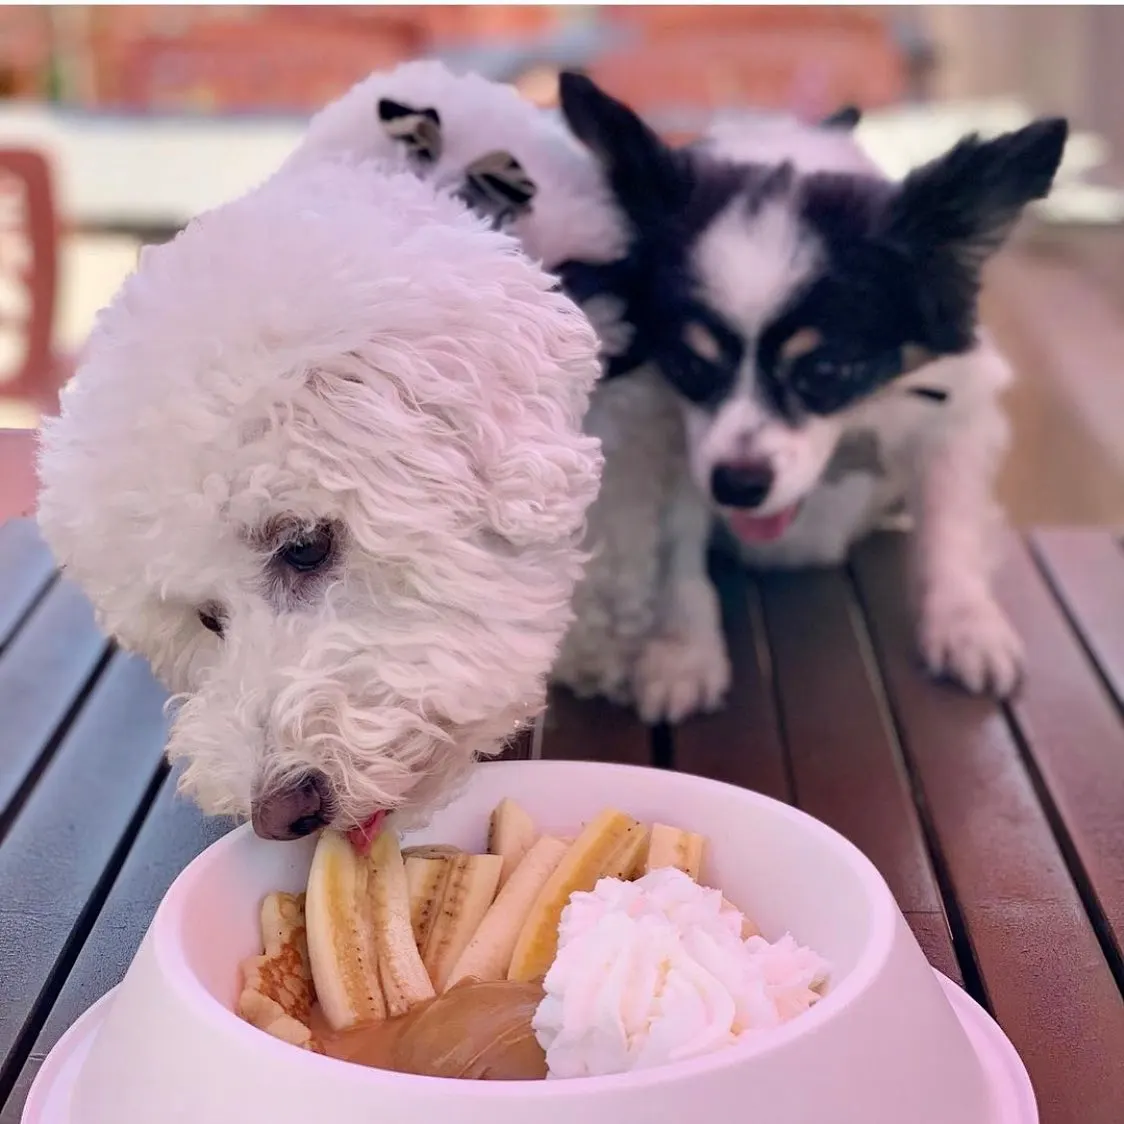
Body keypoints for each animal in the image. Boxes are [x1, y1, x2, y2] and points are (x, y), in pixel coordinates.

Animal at [557, 72, 1065, 719]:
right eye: (688, 365)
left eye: (827, 371)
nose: (738, 485)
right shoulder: (669, 436)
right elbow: (676, 548)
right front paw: (681, 650)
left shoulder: (955, 413)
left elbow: (950, 526)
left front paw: (965, 624)